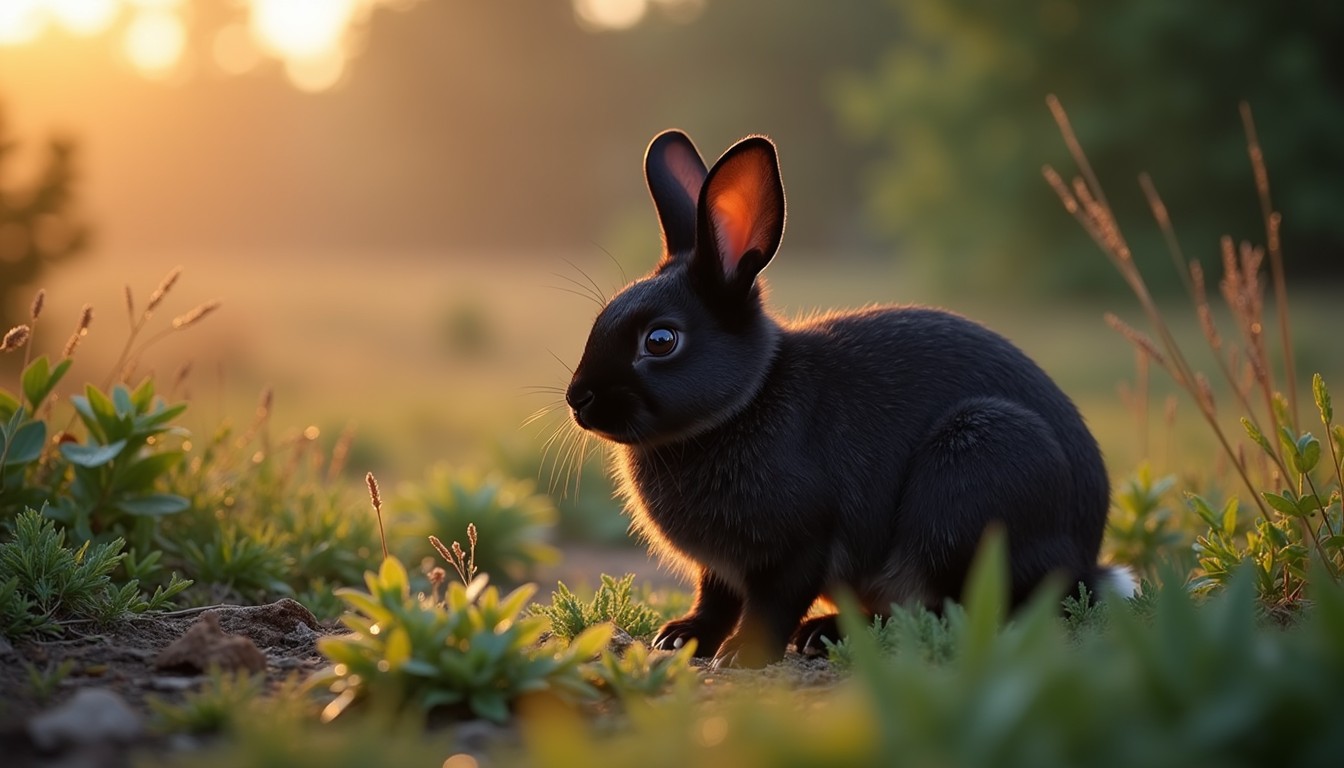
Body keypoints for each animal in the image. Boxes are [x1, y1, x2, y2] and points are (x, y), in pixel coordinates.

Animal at [564, 129, 1130, 668]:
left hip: (976, 473)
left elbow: (775, 600)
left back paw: (824, 634)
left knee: (958, 609)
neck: (743, 402)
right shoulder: (720, 568)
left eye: (661, 340)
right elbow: (715, 599)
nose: (578, 399)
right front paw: (681, 638)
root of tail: (1082, 559)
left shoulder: (802, 542)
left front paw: (744, 655)